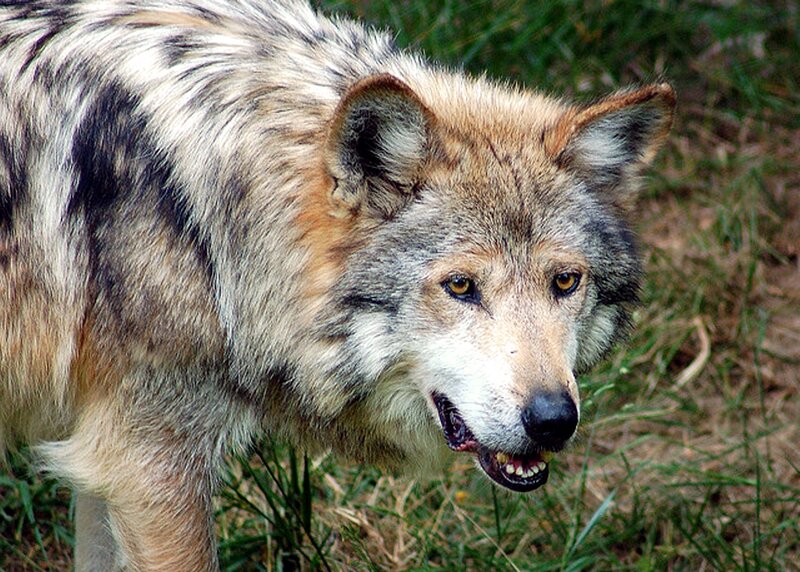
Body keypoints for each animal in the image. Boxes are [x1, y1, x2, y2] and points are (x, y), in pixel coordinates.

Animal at [0, 0, 674, 569]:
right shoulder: (148, 465)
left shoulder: (103, 458)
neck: (209, 216)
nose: (553, 420)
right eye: (460, 287)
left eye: (565, 281)